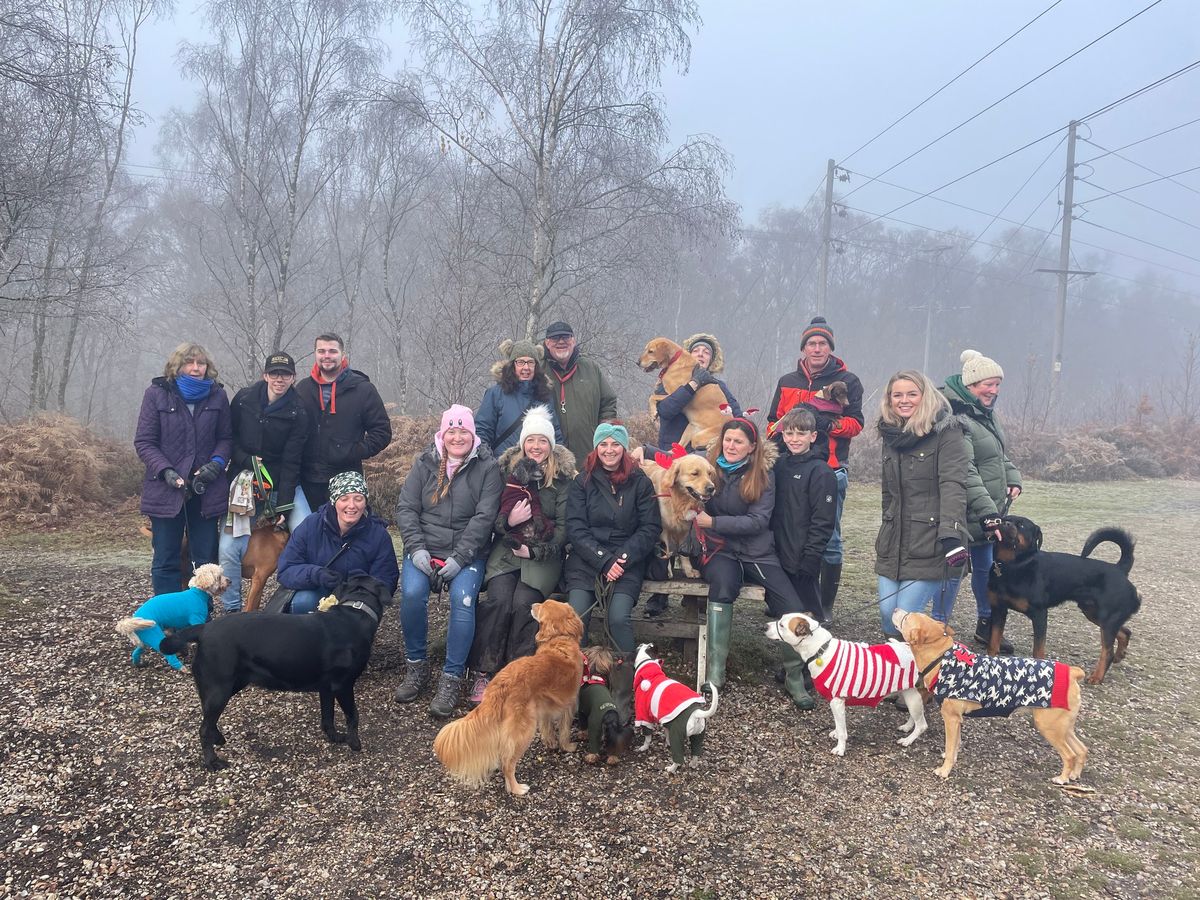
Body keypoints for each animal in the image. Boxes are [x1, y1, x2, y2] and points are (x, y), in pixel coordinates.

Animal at [434, 600, 583, 796]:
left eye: (542, 606)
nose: (533, 604)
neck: (560, 638)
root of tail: (500, 683)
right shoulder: (569, 704)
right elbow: (565, 731)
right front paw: (568, 746)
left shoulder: (544, 707)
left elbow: (547, 727)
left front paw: (550, 742)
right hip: (524, 730)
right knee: (508, 763)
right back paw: (517, 788)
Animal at [768, 619, 926, 758]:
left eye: (781, 625)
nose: (765, 626)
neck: (821, 649)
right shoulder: (835, 704)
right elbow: (839, 725)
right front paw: (836, 733)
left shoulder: (836, 702)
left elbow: (843, 731)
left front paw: (840, 748)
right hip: (909, 694)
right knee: (917, 717)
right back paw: (907, 727)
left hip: (914, 697)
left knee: (922, 725)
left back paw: (908, 740)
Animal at [892, 609, 1089, 787]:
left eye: (907, 617)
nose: (895, 609)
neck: (941, 657)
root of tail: (1072, 672)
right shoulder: (957, 719)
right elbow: (955, 744)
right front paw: (952, 758)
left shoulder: (951, 718)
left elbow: (950, 746)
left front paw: (945, 770)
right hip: (1064, 727)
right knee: (1082, 749)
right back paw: (1074, 775)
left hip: (1049, 726)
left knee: (1070, 755)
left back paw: (1062, 778)